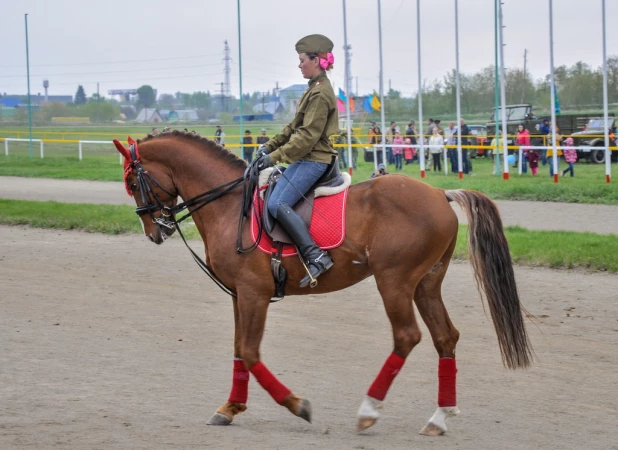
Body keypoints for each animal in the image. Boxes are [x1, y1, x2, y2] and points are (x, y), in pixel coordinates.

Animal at [110, 129, 528, 436]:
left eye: (131, 180)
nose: (154, 230)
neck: (230, 205)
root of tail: (439, 193)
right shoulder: (238, 295)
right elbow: (238, 350)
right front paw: (230, 407)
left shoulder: (254, 294)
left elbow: (249, 351)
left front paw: (297, 405)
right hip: (426, 283)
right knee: (445, 337)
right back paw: (438, 417)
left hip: (394, 281)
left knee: (407, 337)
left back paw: (369, 409)